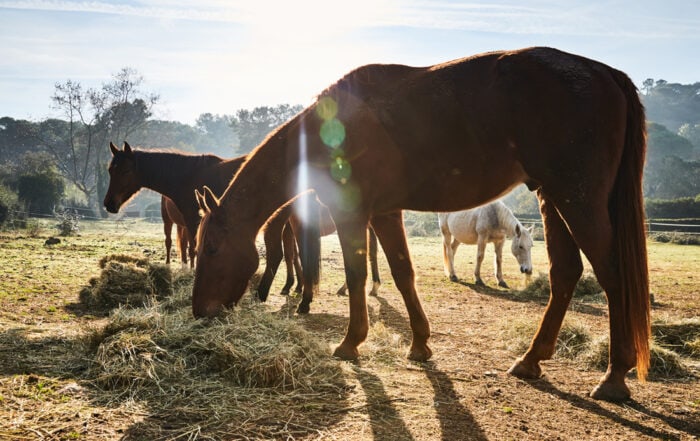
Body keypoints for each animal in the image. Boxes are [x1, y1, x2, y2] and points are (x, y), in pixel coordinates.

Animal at [192, 47, 649, 402]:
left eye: (210, 249)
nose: (199, 313)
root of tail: (605, 73)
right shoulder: (384, 213)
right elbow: (402, 273)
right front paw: (420, 343)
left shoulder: (353, 214)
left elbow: (358, 276)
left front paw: (351, 341)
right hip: (553, 199)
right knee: (566, 272)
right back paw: (531, 359)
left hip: (578, 200)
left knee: (612, 274)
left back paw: (614, 376)